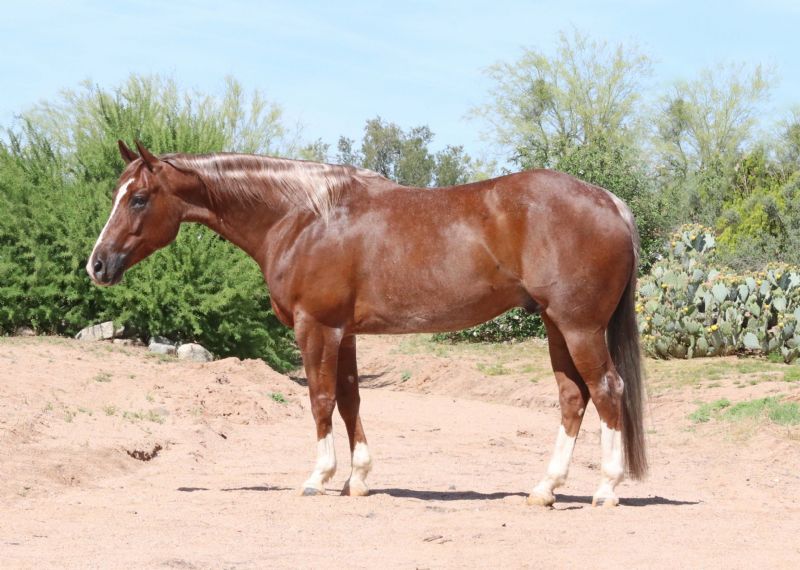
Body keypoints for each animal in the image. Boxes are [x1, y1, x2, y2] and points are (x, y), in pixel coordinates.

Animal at [87, 140, 647, 507]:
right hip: (555, 325)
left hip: (578, 327)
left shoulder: (316, 328)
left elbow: (319, 399)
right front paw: (357, 479)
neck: (303, 217)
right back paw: (544, 489)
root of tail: (610, 202)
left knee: (607, 389)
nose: (97, 265)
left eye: (138, 198)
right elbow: (350, 399)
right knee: (573, 397)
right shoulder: (346, 334)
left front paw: (318, 477)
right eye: (117, 194)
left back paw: (606, 489)